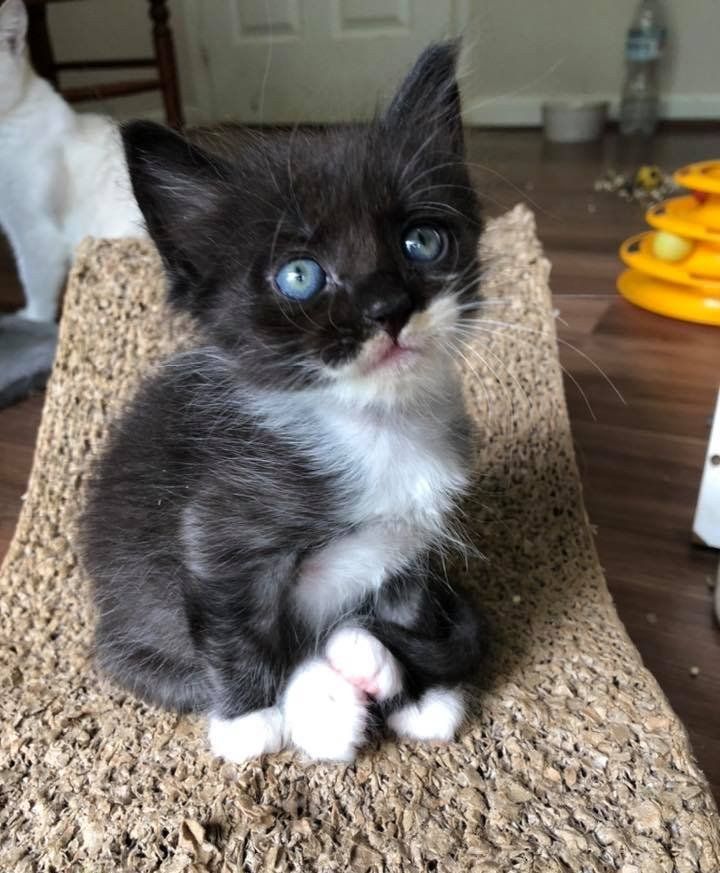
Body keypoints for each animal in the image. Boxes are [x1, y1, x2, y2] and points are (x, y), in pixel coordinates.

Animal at [79, 42, 486, 764]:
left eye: (423, 240)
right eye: (299, 276)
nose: (388, 308)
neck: (376, 430)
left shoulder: (408, 541)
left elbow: (404, 609)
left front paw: (417, 694)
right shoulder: (218, 531)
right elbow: (237, 630)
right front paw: (254, 719)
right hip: (127, 627)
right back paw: (326, 693)